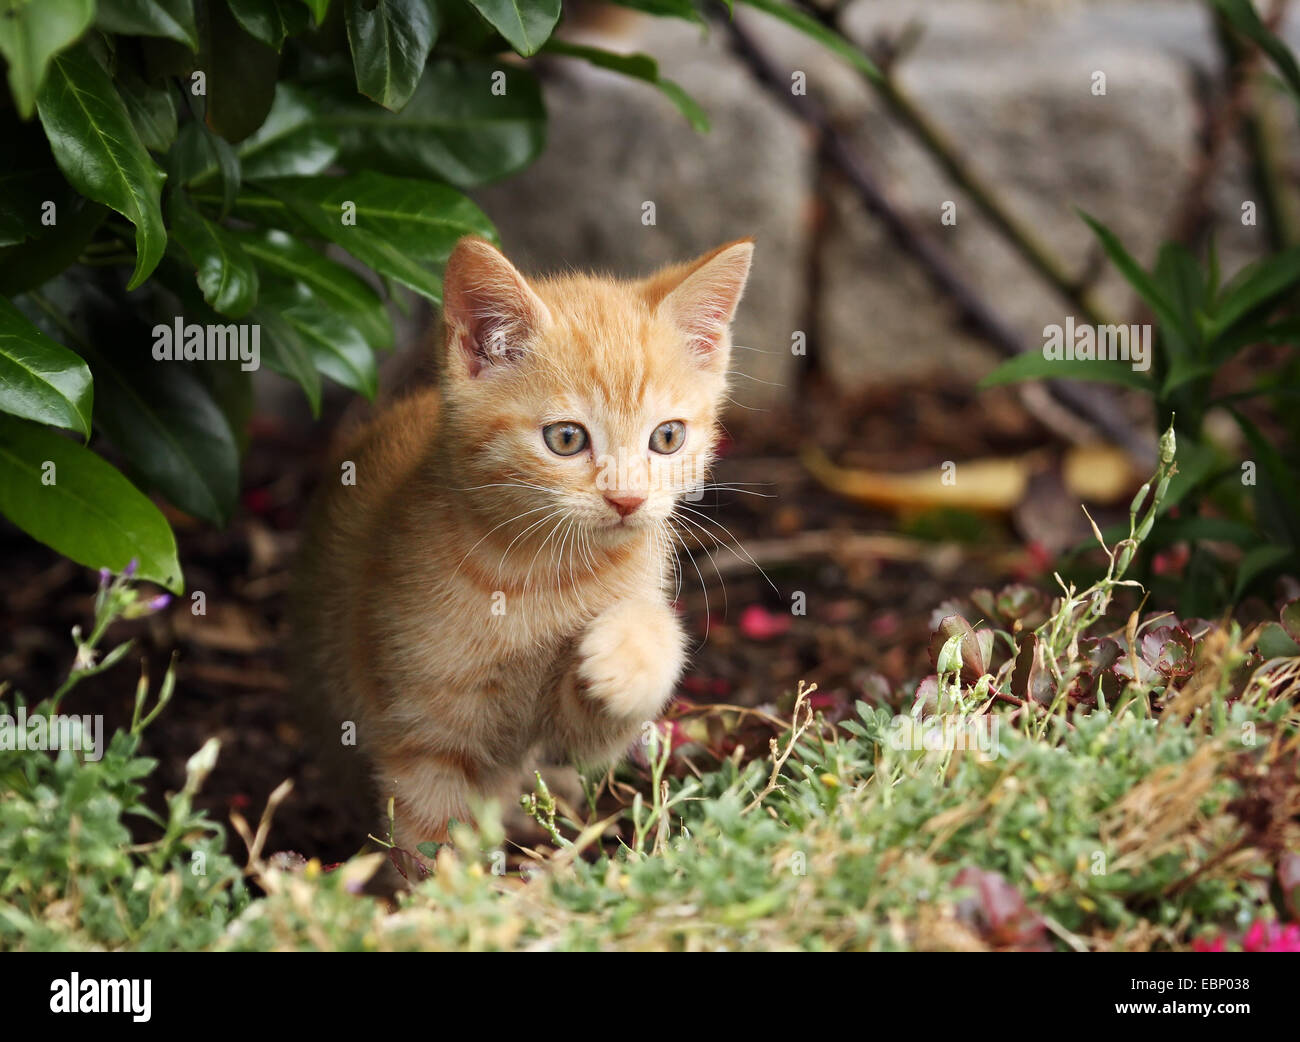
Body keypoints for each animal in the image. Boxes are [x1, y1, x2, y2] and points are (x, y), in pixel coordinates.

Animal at [292, 231, 754, 847]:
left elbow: (609, 700)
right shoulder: (421, 735)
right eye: (566, 439)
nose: (628, 499)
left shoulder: (573, 727)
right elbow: (431, 833)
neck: (541, 572)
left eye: (668, 437)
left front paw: (629, 653)